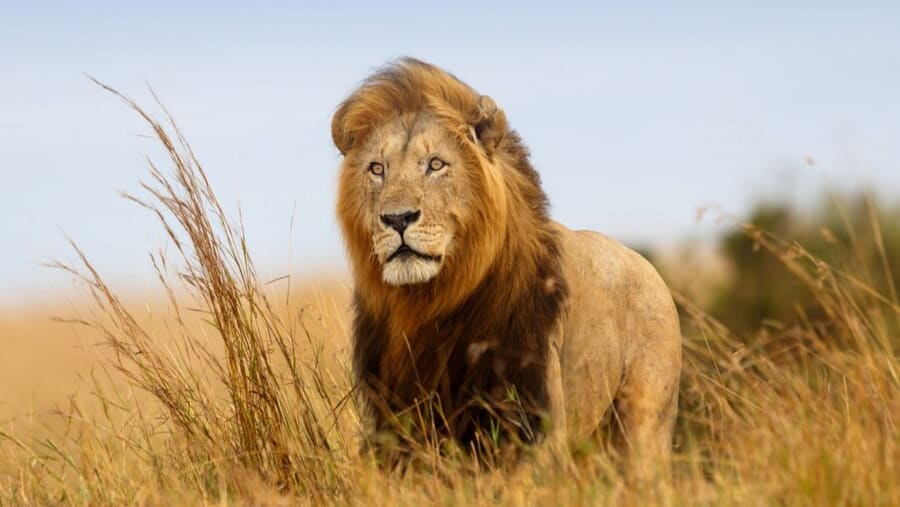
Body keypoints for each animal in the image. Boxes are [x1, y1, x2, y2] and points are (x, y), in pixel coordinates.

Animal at [332, 58, 681, 478]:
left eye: (436, 165)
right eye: (377, 169)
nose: (397, 219)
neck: (429, 304)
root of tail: (651, 270)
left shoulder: (532, 417)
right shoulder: (396, 419)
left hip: (644, 423)